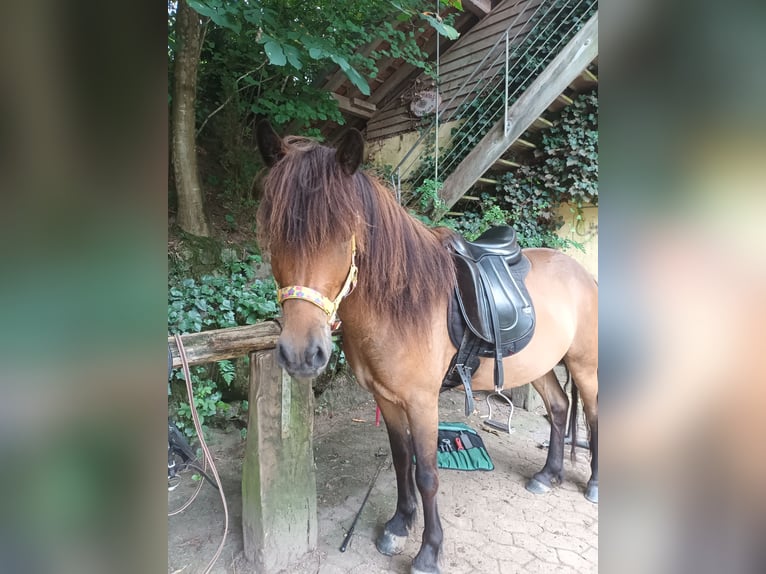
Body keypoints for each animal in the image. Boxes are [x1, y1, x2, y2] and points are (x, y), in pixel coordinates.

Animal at [256, 122, 600, 574]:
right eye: (275, 234)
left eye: (343, 236)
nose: (301, 353)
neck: (400, 304)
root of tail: (582, 272)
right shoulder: (388, 399)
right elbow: (403, 461)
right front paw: (399, 524)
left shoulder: (423, 402)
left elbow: (428, 475)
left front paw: (429, 551)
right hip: (540, 365)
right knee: (559, 408)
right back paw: (548, 475)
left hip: (585, 366)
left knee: (593, 416)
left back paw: (594, 484)